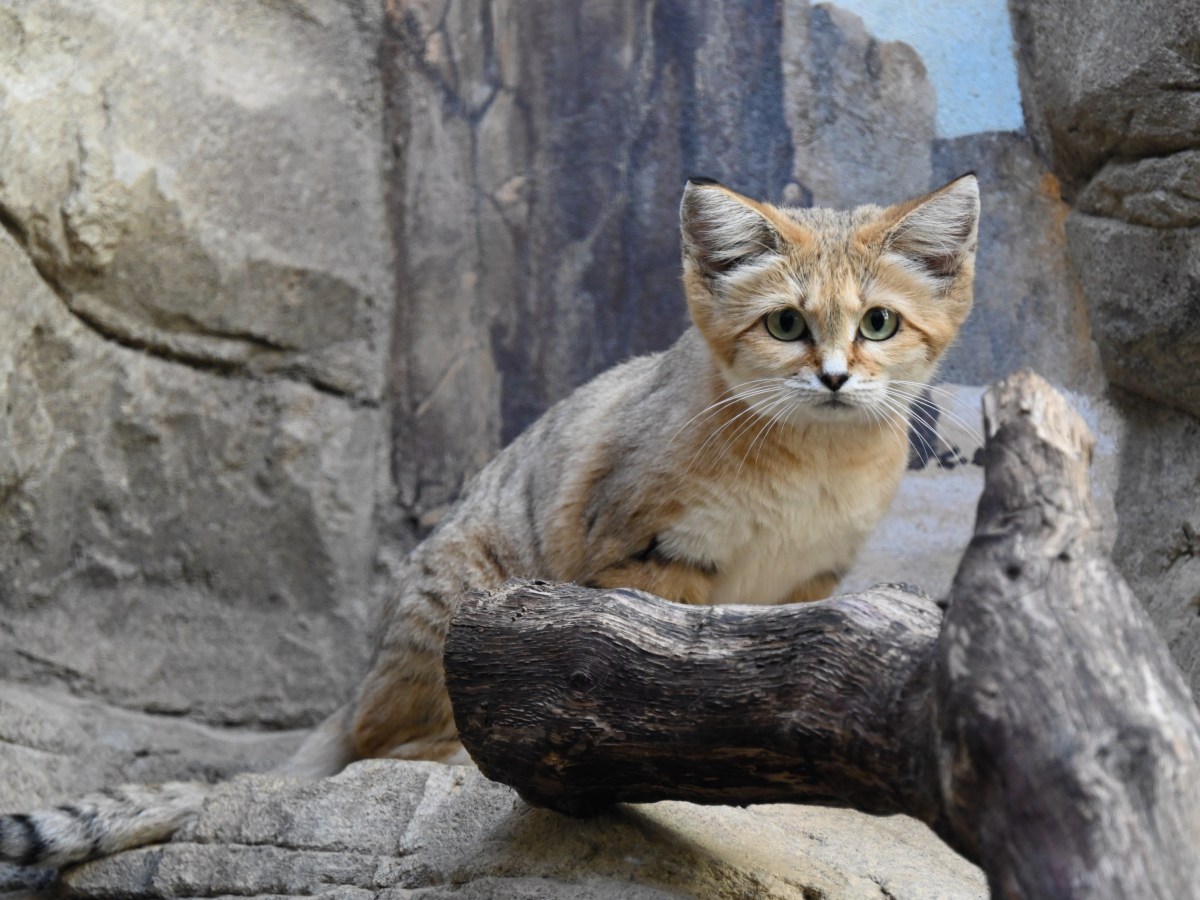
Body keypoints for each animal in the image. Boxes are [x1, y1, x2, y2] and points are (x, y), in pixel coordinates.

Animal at [0, 172, 979, 868]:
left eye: (878, 324)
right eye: (784, 325)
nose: (835, 378)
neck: (813, 458)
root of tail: (356, 686)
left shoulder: (811, 584)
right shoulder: (647, 555)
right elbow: (659, 686)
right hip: (461, 606)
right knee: (383, 753)